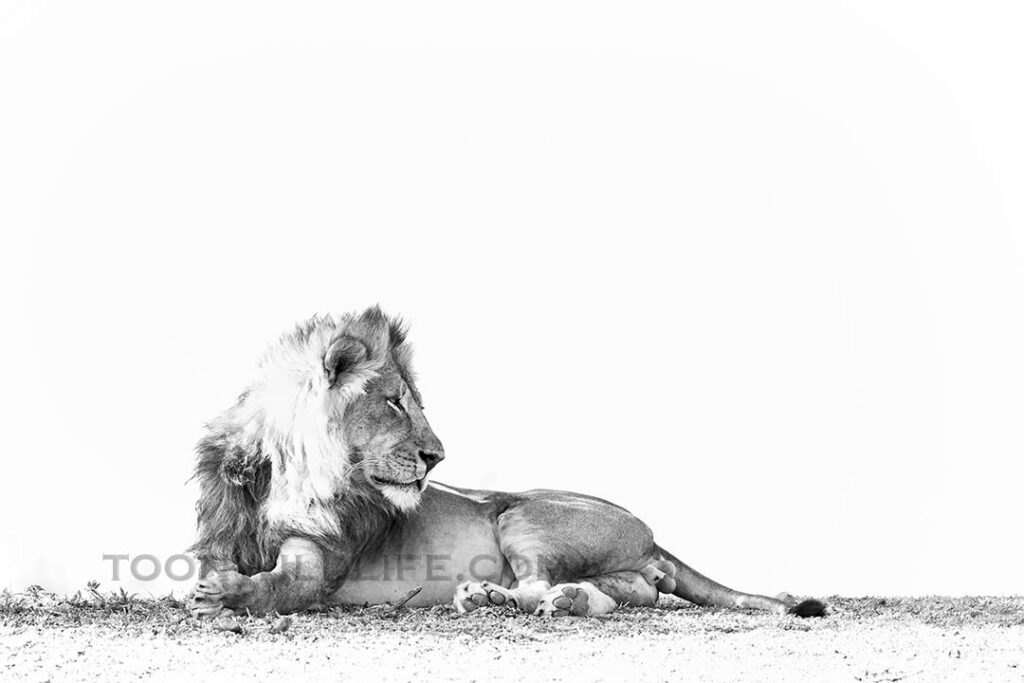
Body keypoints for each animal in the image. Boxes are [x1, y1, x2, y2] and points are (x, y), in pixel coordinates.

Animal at [187, 307, 824, 619]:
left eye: (412, 402)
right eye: (394, 401)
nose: (437, 457)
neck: (288, 473)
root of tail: (652, 535)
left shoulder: (323, 563)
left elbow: (280, 587)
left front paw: (225, 597)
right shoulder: (223, 539)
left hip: (522, 516)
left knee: (543, 583)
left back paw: (498, 599)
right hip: (613, 567)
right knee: (625, 595)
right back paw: (562, 600)